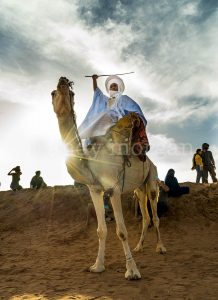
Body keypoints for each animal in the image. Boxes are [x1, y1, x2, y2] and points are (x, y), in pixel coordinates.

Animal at [51, 76, 167, 280]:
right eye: (52, 93)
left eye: (72, 93)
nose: (63, 81)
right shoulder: (95, 190)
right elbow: (101, 230)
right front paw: (97, 266)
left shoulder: (113, 189)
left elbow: (121, 231)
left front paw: (132, 271)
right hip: (139, 188)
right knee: (145, 216)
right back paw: (138, 247)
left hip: (152, 178)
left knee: (155, 214)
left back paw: (160, 247)